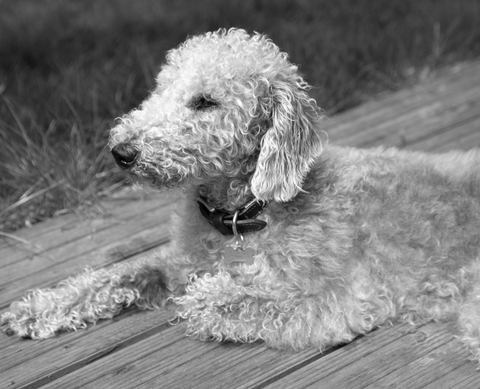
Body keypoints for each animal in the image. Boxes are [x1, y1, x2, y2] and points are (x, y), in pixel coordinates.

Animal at [2, 28, 480, 358]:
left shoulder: (338, 299)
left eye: (205, 101)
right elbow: (115, 275)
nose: (122, 152)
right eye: (161, 89)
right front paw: (38, 308)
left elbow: (244, 301)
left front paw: (211, 294)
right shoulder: (178, 262)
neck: (240, 215)